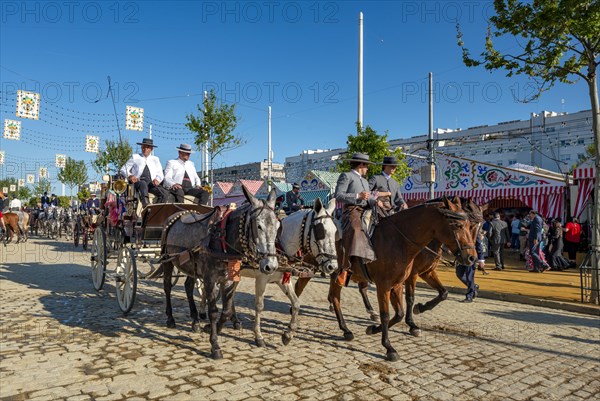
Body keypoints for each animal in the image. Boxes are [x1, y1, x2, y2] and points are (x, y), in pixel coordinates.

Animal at [152, 186, 278, 358]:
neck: (223, 239)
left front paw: (213, 328)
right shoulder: (209, 278)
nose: (271, 266)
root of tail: (174, 216)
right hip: (168, 261)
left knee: (188, 286)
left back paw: (195, 321)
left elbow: (226, 310)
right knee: (167, 287)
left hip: (191, 267)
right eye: (258, 226)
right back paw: (171, 318)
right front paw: (215, 345)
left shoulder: (228, 278)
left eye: (278, 226)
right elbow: (213, 311)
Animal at [326, 196, 476, 360]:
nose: (471, 258)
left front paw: (377, 329)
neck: (399, 240)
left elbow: (408, 309)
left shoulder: (413, 277)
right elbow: (391, 311)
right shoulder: (389, 283)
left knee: (348, 292)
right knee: (336, 297)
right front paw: (390, 346)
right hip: (337, 273)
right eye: (458, 225)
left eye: (470, 225)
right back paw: (346, 328)